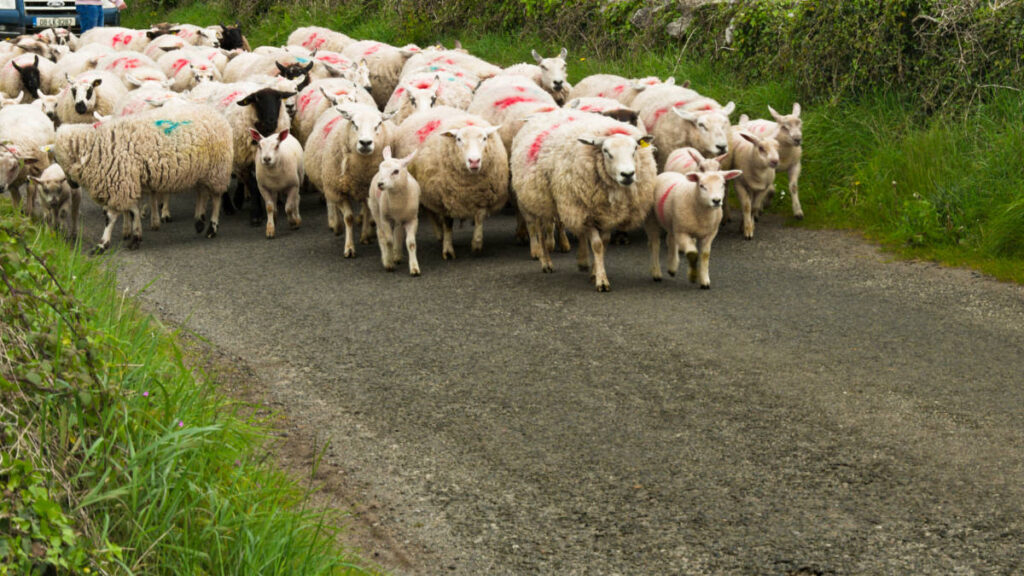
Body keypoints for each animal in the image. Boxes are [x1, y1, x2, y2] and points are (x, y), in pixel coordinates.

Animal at [54, 104, 234, 252]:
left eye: (59, 160)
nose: (71, 184)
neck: (97, 145)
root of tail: (219, 116)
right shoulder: (127, 182)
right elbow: (134, 211)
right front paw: (136, 238)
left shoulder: (120, 183)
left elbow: (111, 216)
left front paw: (102, 244)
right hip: (202, 171)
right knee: (202, 193)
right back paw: (199, 221)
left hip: (217, 170)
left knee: (216, 198)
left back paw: (212, 228)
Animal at [303, 102, 393, 257]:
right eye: (354, 123)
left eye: (378, 124)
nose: (365, 143)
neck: (360, 173)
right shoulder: (337, 191)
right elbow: (349, 218)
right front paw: (349, 248)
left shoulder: (366, 189)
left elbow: (367, 211)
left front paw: (365, 236)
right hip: (328, 182)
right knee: (331, 203)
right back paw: (336, 225)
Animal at [368, 145, 421, 276]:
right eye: (380, 168)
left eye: (396, 171)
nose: (380, 184)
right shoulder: (385, 219)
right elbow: (388, 241)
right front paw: (389, 262)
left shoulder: (412, 219)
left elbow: (411, 243)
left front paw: (414, 268)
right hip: (375, 209)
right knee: (381, 234)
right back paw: (387, 258)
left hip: (399, 219)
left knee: (398, 232)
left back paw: (397, 255)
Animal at [392, 106, 508, 259]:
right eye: (459, 139)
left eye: (484, 138)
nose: (474, 161)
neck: (469, 186)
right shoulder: (443, 199)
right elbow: (448, 224)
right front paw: (447, 249)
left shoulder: (482, 197)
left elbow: (479, 218)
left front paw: (477, 244)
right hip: (425, 191)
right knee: (430, 212)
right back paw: (439, 234)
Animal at [511, 110, 656, 291]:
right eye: (606, 151)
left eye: (635, 149)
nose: (628, 174)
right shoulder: (586, 214)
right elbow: (597, 245)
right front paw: (602, 281)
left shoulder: (606, 215)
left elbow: (604, 243)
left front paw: (595, 272)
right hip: (537, 199)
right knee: (540, 232)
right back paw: (546, 262)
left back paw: (581, 261)